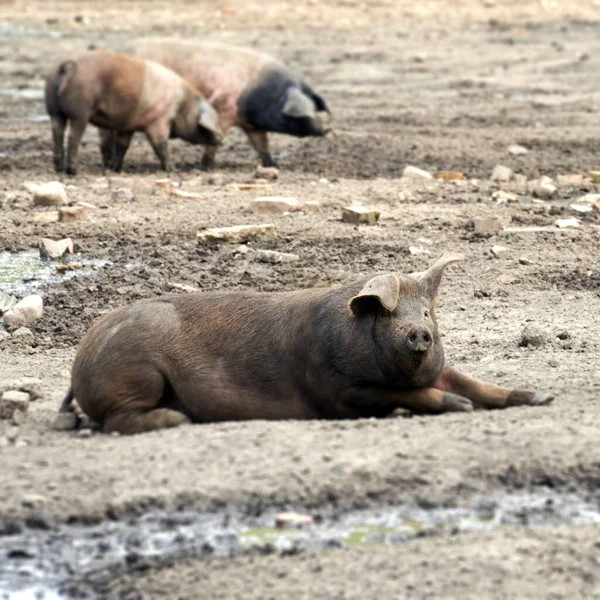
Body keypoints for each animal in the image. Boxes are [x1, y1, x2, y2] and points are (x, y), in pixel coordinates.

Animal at [44, 49, 223, 176]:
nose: (221, 139)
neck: (181, 105)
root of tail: (67, 65)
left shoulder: (127, 126)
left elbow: (122, 145)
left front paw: (116, 169)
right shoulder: (158, 121)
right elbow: (160, 145)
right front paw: (172, 169)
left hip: (53, 110)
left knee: (57, 134)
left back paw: (58, 169)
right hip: (80, 111)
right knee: (73, 136)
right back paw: (72, 171)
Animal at [61, 253, 552, 436]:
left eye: (427, 313)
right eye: (388, 314)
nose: (418, 332)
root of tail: (82, 354)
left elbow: (471, 382)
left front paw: (541, 397)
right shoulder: (334, 389)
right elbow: (421, 396)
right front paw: (460, 408)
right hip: (136, 371)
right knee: (118, 420)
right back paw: (177, 419)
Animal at [124, 38, 330, 169]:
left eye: (315, 107)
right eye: (306, 111)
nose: (326, 129)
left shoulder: (252, 125)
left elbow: (262, 144)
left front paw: (274, 165)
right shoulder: (223, 108)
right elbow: (216, 140)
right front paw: (205, 167)